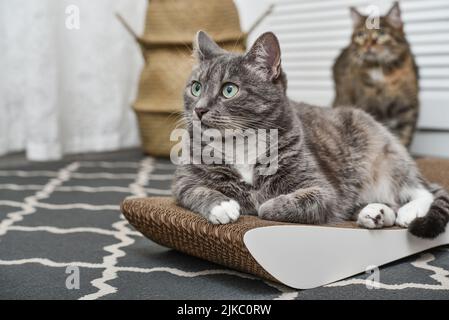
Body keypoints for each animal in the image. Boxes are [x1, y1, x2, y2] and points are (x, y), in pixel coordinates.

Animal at [172, 31, 448, 239]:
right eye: (196, 88)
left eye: (229, 90)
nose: (199, 109)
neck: (240, 143)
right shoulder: (183, 180)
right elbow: (194, 190)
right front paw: (222, 204)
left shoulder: (323, 188)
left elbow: (302, 200)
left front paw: (265, 204)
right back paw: (376, 213)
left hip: (384, 158)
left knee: (423, 190)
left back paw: (409, 212)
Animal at [332, 2, 416, 148]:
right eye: (360, 35)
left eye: (382, 33)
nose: (367, 45)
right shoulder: (367, 107)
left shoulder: (407, 109)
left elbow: (404, 137)